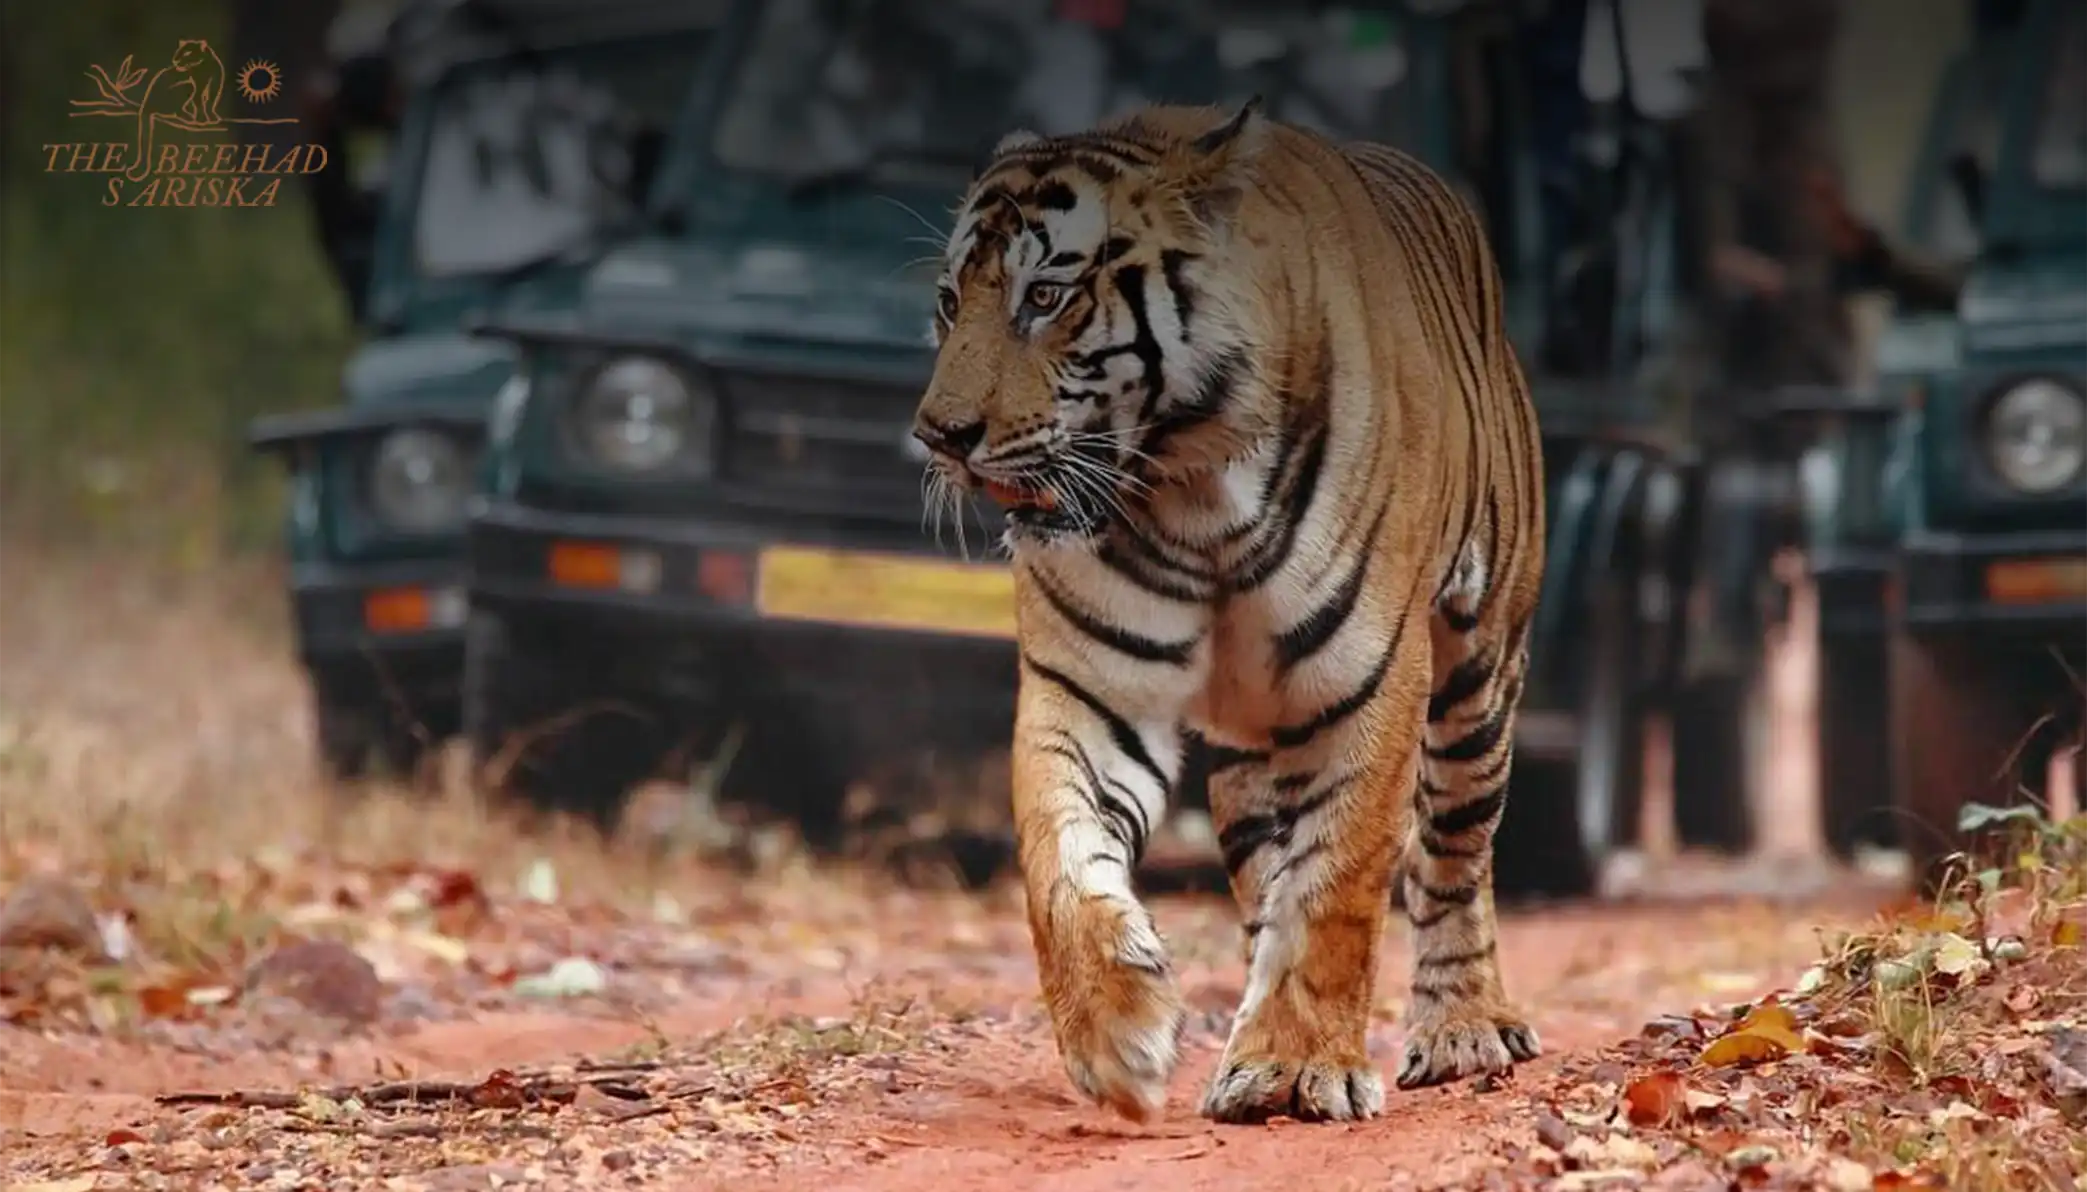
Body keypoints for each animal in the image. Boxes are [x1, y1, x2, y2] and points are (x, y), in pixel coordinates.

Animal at [910, 99, 1547, 1125]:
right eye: (946, 302)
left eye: (1044, 297)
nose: (938, 436)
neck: (1187, 493)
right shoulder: (1087, 689)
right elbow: (1058, 858)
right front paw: (1118, 1037)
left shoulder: (1369, 683)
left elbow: (1338, 880)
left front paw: (1297, 1065)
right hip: (1254, 753)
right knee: (1265, 876)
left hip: (1478, 677)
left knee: (1453, 856)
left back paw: (1464, 1030)